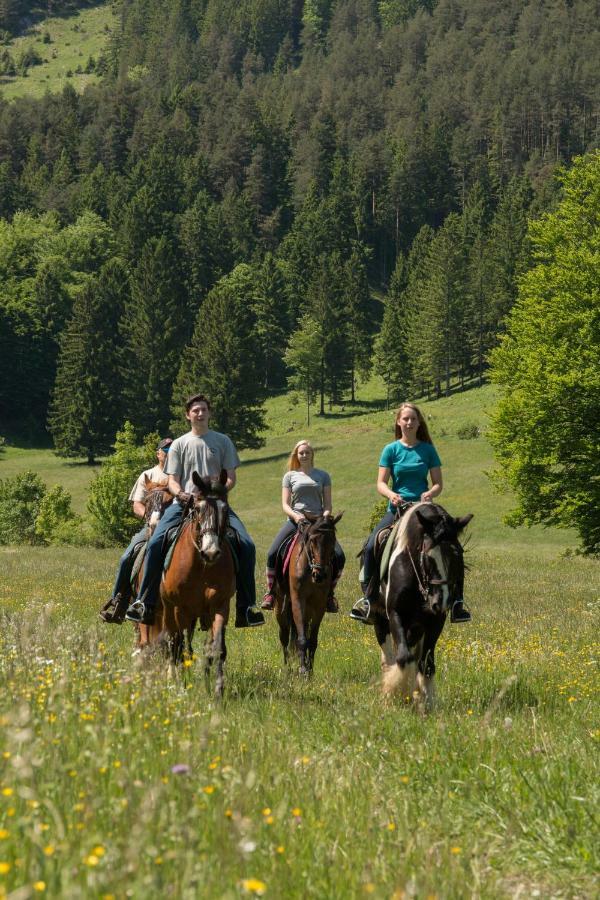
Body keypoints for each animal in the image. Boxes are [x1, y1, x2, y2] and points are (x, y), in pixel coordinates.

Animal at [159, 472, 237, 696]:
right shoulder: (181, 609)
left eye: (224, 509)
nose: (210, 552)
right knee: (173, 642)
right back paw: (172, 677)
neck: (202, 567)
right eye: (198, 509)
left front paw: (217, 689)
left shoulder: (220, 606)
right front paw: (184, 686)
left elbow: (216, 647)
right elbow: (184, 647)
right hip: (169, 609)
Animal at [276, 512, 342, 676]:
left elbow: (312, 640)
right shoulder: (298, 601)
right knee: (284, 636)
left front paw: (310, 671)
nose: (320, 575)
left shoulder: (319, 606)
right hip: (280, 607)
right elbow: (301, 640)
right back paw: (288, 668)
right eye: (312, 540)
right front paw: (303, 670)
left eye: (333, 540)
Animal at [376, 502, 474, 708]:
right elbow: (404, 658)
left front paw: (425, 700)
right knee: (389, 658)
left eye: (458, 556)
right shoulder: (395, 614)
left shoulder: (435, 621)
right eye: (429, 556)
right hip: (379, 621)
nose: (440, 601)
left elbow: (426, 664)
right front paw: (395, 693)